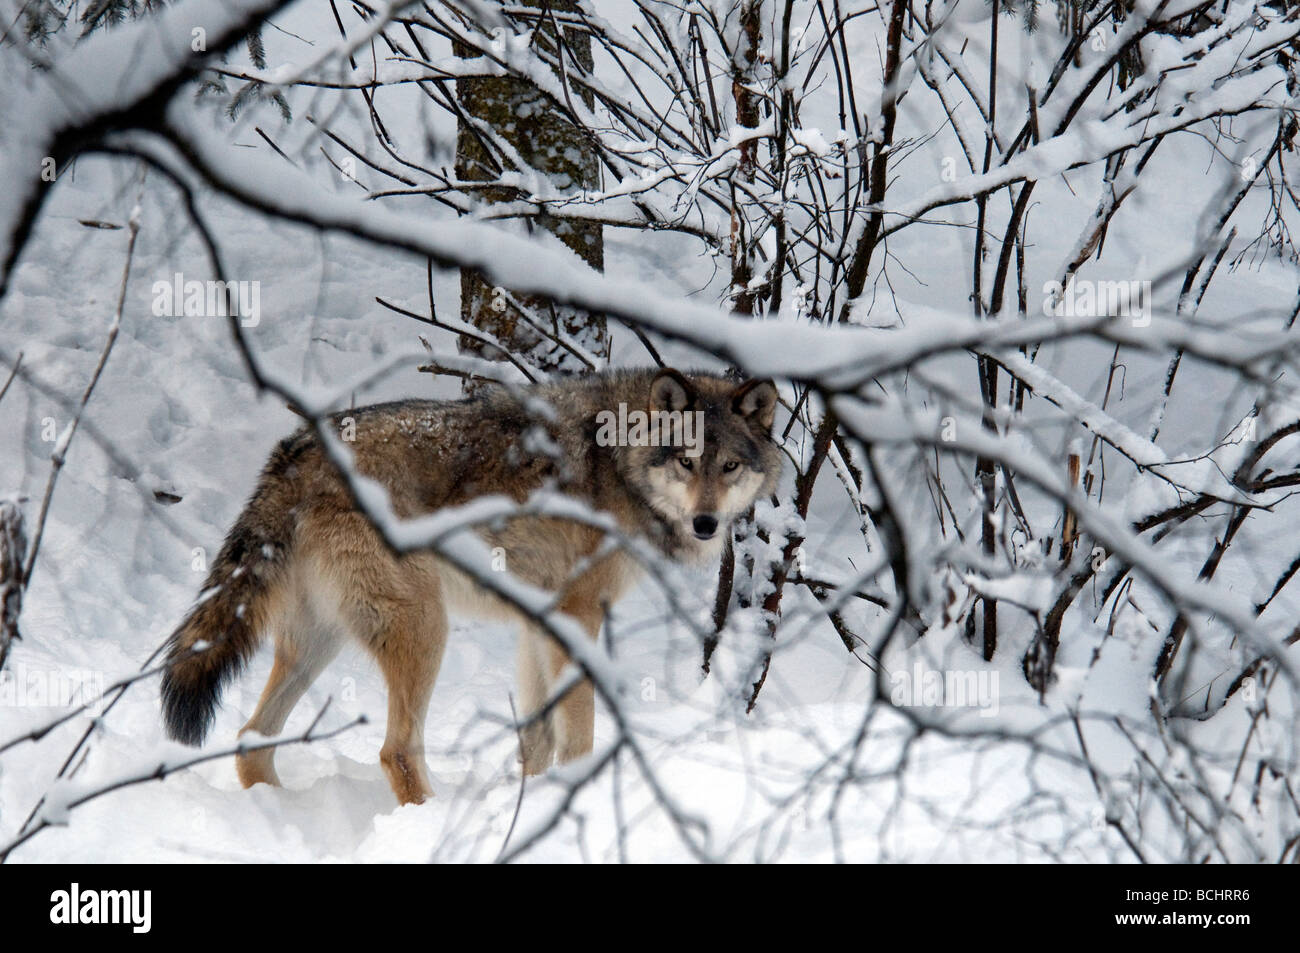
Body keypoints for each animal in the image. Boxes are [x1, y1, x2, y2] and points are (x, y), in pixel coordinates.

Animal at [157, 366, 774, 800]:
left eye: (729, 467)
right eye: (686, 462)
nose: (706, 523)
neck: (619, 465)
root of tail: (295, 452)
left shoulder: (540, 621)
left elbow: (536, 738)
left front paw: (532, 801)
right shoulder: (577, 616)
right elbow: (578, 734)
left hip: (320, 642)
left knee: (251, 741)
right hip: (425, 627)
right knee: (396, 751)